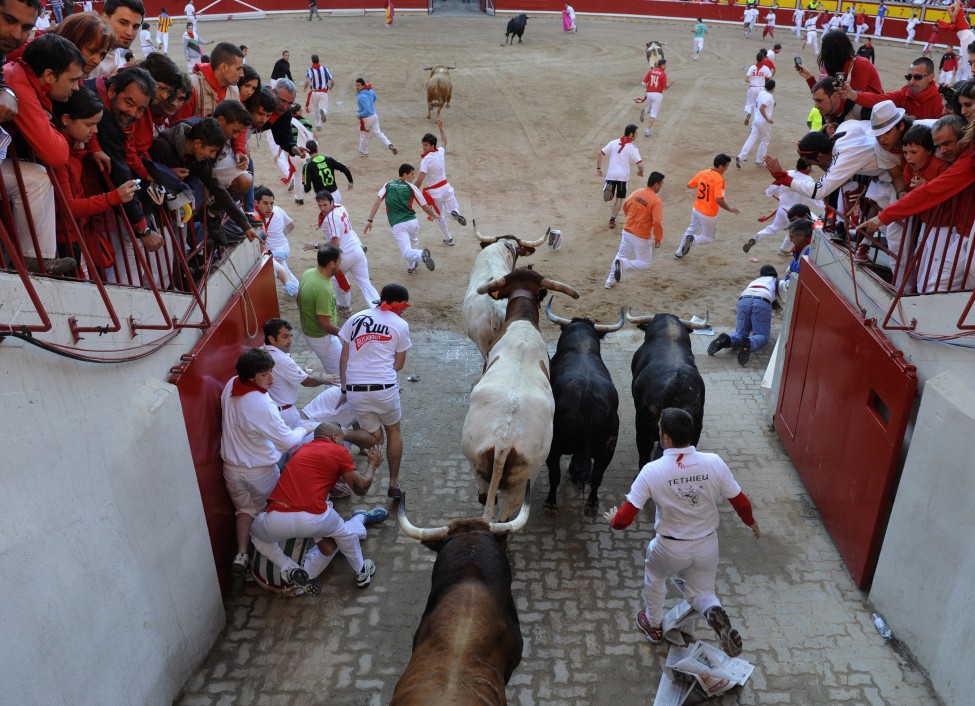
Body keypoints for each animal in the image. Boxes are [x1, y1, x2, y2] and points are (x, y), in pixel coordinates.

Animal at [544, 318, 620, 512]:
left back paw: (550, 503)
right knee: (597, 476)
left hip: (554, 445)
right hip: (608, 449)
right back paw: (592, 503)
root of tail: (587, 395)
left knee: (554, 474)